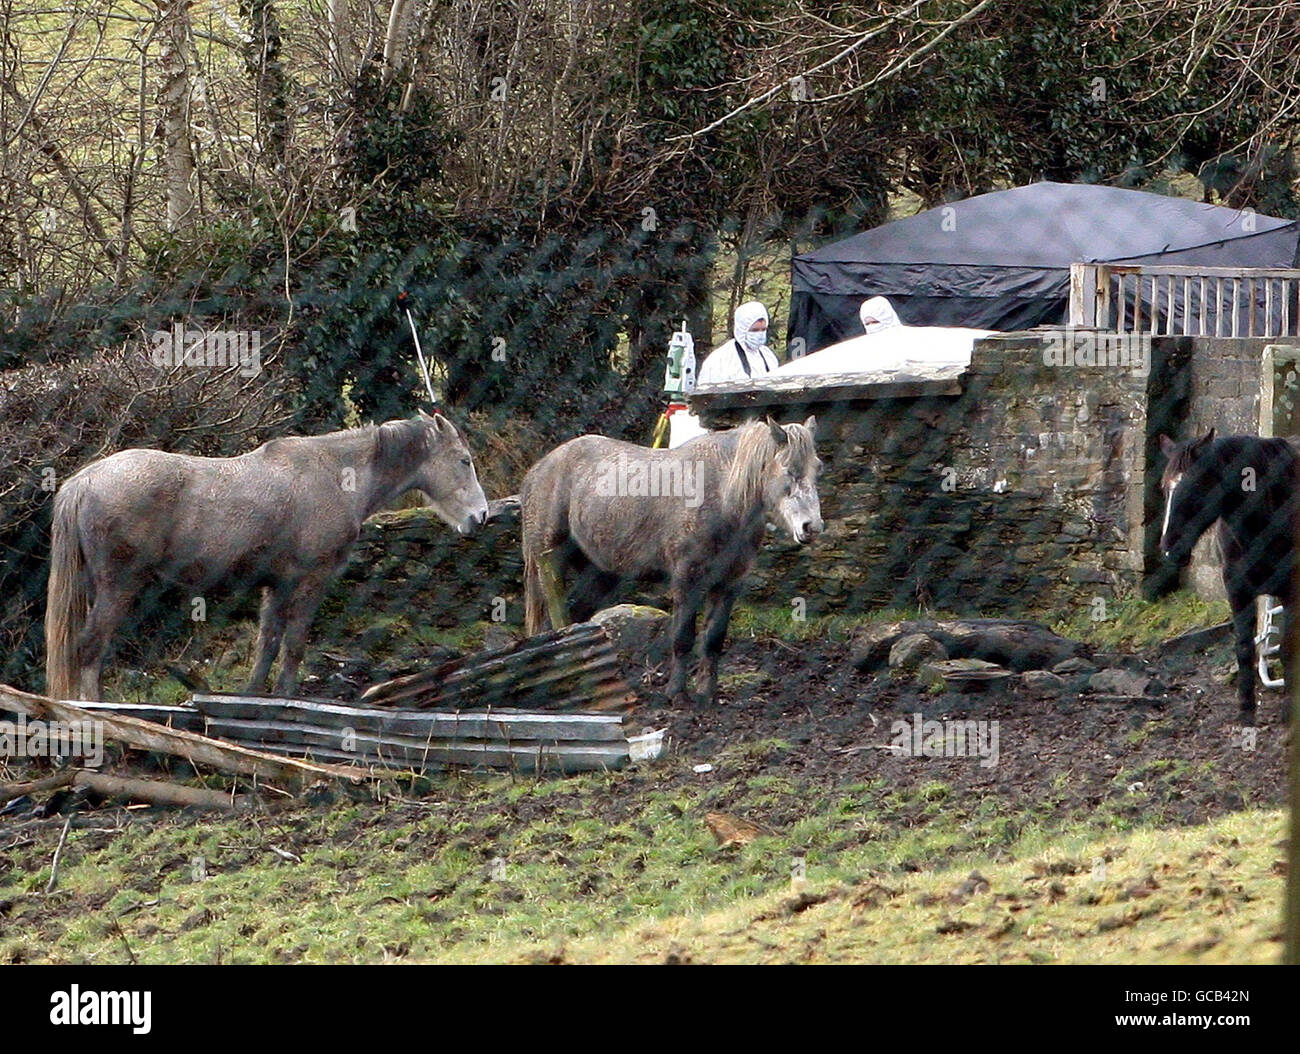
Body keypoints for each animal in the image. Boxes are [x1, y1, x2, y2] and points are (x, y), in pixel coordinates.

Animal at [47, 413, 488, 701]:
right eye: (464, 460)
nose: (480, 516)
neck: (335, 474)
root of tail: (83, 481)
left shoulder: (277, 585)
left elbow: (268, 644)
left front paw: (257, 695)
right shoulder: (311, 580)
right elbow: (294, 643)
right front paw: (286, 695)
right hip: (119, 587)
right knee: (90, 647)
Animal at [520, 415, 816, 706]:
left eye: (818, 469)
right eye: (788, 470)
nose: (811, 526)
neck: (722, 495)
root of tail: (538, 470)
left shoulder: (729, 583)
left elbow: (713, 639)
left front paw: (706, 694)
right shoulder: (687, 579)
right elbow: (682, 638)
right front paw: (677, 693)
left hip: (600, 573)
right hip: (550, 560)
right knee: (560, 618)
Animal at [1164, 431, 1294, 727]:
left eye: (1197, 484)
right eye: (1165, 488)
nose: (1169, 547)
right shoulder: (1237, 591)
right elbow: (1244, 648)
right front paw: (1246, 712)